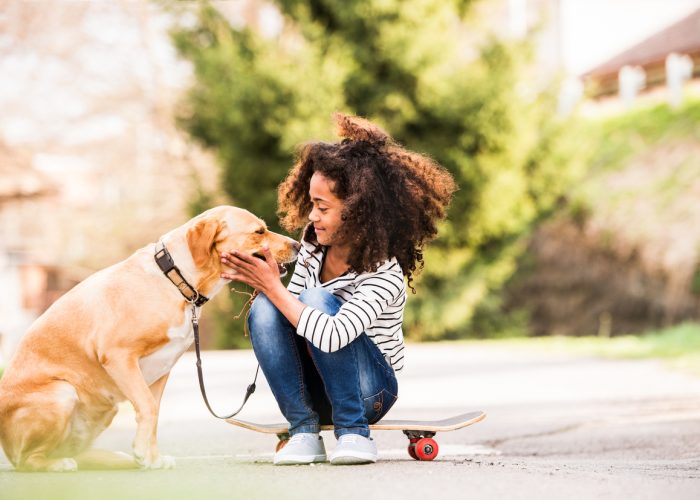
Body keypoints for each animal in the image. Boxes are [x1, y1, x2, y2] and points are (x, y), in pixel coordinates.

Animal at [0, 205, 298, 470]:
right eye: (259, 231)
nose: (297, 244)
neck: (175, 280)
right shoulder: (119, 356)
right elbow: (148, 407)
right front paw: (145, 454)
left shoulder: (161, 370)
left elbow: (154, 411)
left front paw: (151, 457)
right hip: (63, 393)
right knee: (27, 460)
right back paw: (56, 464)